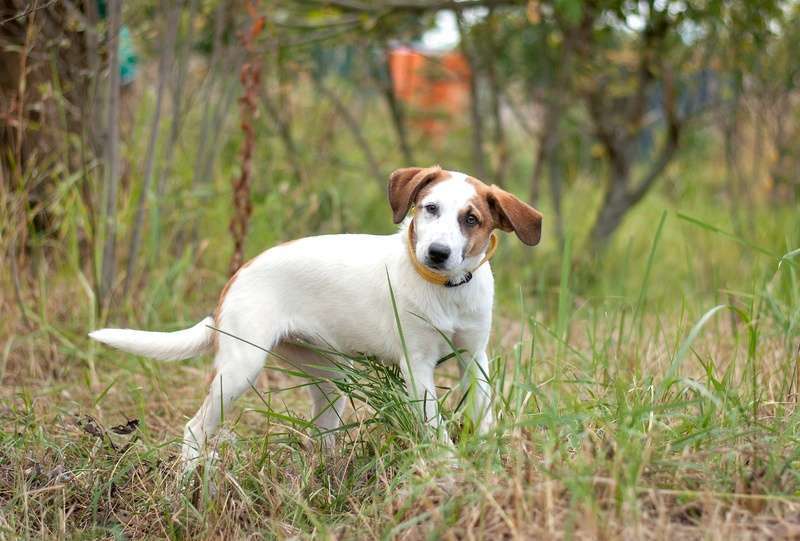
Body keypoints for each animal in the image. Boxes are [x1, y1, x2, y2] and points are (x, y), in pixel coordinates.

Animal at [89, 167, 544, 466]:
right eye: (429, 208)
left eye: (472, 219)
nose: (436, 253)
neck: (445, 289)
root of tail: (238, 275)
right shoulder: (417, 368)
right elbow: (435, 428)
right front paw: (449, 468)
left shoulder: (475, 359)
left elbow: (484, 415)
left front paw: (489, 462)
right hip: (240, 369)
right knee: (194, 429)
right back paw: (191, 488)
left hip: (330, 377)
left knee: (321, 436)